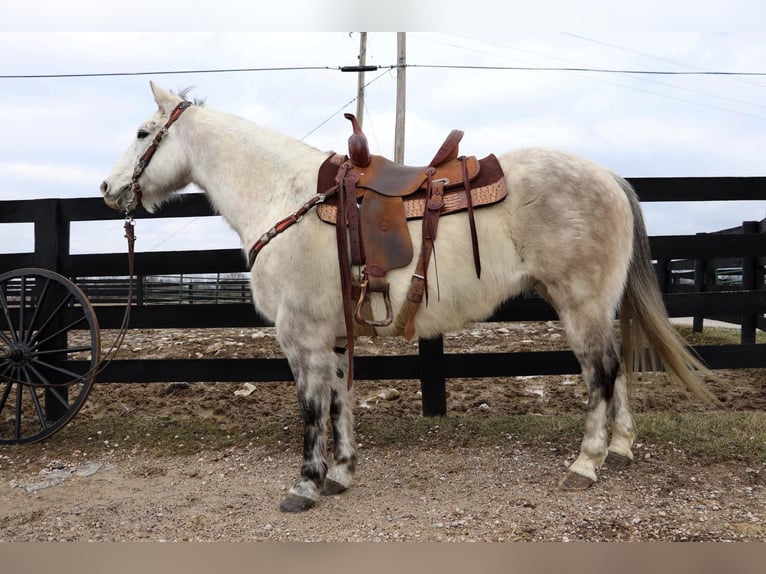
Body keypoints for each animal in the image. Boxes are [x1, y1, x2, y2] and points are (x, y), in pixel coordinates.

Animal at [99, 82, 716, 512]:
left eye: (141, 132)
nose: (107, 189)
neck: (286, 197)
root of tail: (607, 176)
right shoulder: (334, 336)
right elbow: (340, 402)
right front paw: (341, 474)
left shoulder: (300, 336)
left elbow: (310, 408)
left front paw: (306, 484)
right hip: (595, 306)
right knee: (616, 369)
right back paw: (621, 448)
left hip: (579, 305)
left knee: (600, 373)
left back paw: (586, 463)